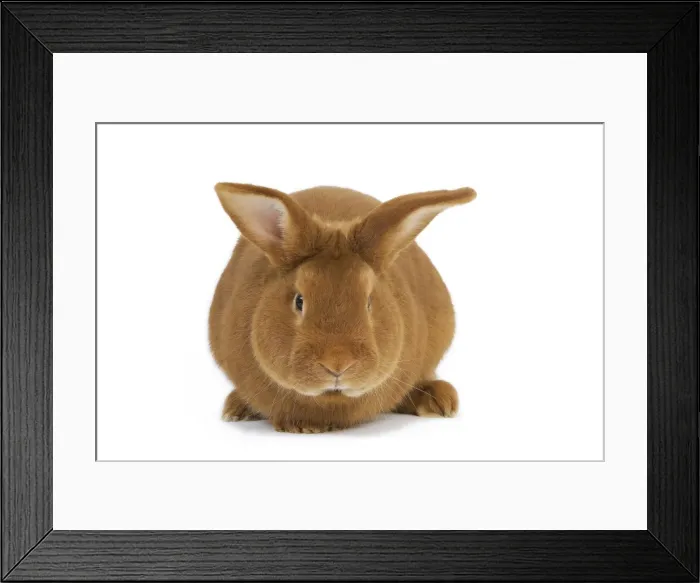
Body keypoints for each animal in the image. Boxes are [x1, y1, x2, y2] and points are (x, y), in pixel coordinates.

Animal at [209, 182, 476, 433]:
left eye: (369, 301)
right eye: (299, 301)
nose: (338, 364)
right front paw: (302, 426)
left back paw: (440, 402)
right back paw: (236, 408)